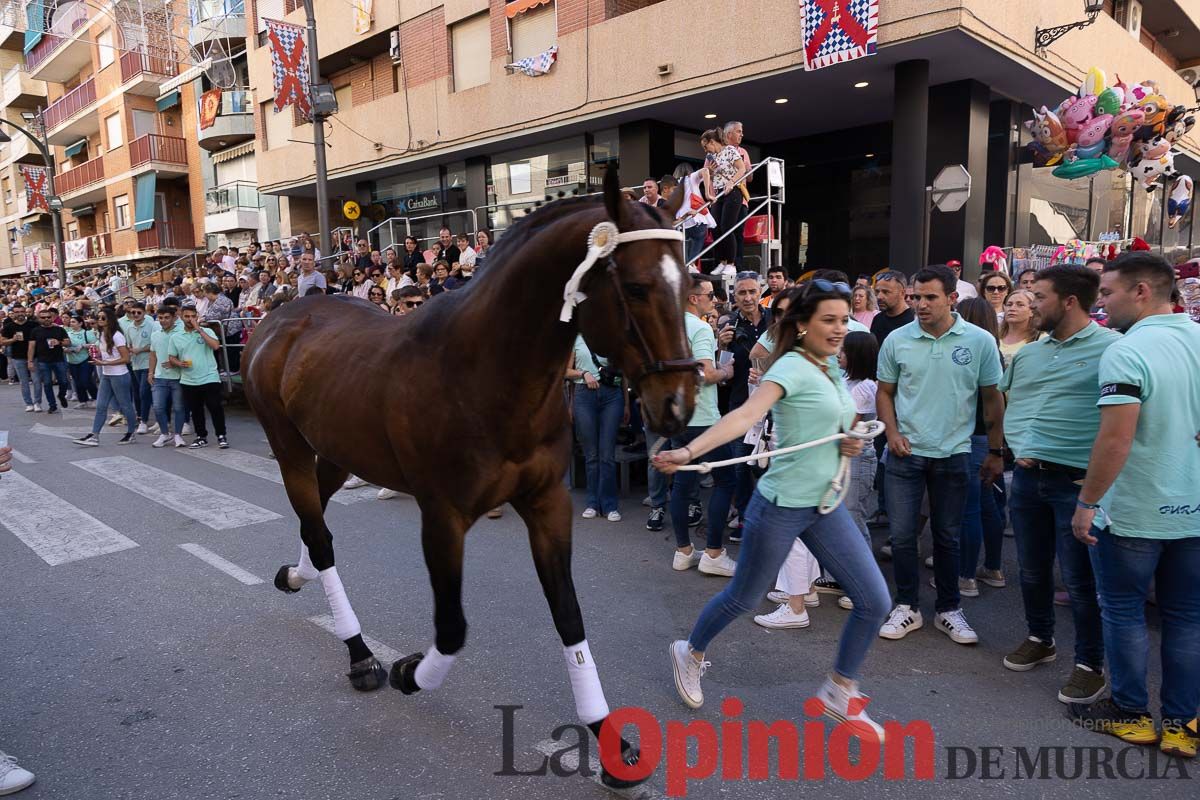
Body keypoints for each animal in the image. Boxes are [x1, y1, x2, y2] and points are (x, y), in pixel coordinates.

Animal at [241, 170, 696, 786]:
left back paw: (297, 575)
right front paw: (410, 673)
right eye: (639, 287)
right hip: (287, 444)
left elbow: (569, 613)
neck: (485, 373)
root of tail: (283, 314)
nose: (677, 404)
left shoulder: (547, 502)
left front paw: (608, 737)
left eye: (689, 282)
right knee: (319, 533)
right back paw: (360, 653)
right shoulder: (443, 515)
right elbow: (452, 628)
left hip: (338, 450)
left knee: (318, 530)